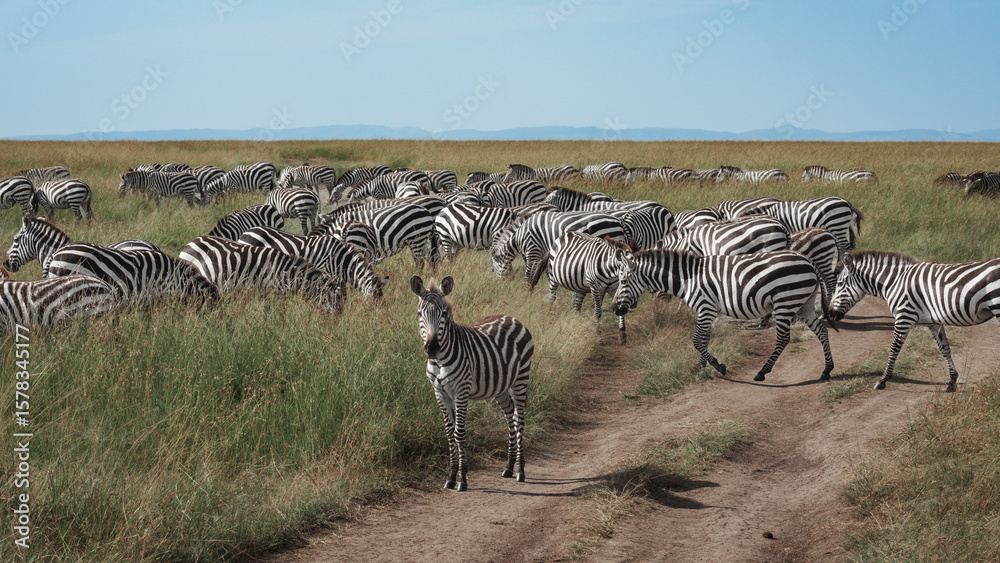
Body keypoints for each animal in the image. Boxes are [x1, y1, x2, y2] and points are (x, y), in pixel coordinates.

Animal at [410, 275, 534, 490]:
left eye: (443, 314)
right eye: (420, 314)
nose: (432, 348)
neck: (440, 360)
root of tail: (513, 318)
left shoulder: (461, 392)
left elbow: (459, 434)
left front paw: (462, 479)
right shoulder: (439, 393)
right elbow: (449, 433)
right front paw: (451, 477)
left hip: (521, 379)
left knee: (519, 420)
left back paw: (520, 471)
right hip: (500, 387)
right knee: (510, 415)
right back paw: (509, 467)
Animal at [489, 210, 625, 284]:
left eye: (494, 269)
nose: (499, 284)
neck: (519, 236)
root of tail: (618, 222)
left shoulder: (533, 251)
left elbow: (528, 274)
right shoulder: (544, 254)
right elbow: (545, 273)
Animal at [611, 249, 835, 383]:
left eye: (623, 281)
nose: (614, 309)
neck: (687, 279)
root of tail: (808, 261)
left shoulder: (705, 308)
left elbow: (697, 341)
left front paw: (718, 366)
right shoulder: (707, 312)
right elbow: (704, 340)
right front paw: (701, 369)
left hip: (785, 302)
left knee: (783, 338)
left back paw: (762, 372)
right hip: (804, 303)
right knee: (822, 330)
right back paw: (826, 370)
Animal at [828, 251, 1000, 392]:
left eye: (839, 284)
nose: (829, 314)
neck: (894, 282)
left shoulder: (904, 317)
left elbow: (894, 349)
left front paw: (882, 380)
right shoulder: (934, 323)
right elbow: (944, 348)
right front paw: (952, 382)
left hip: (997, 307)